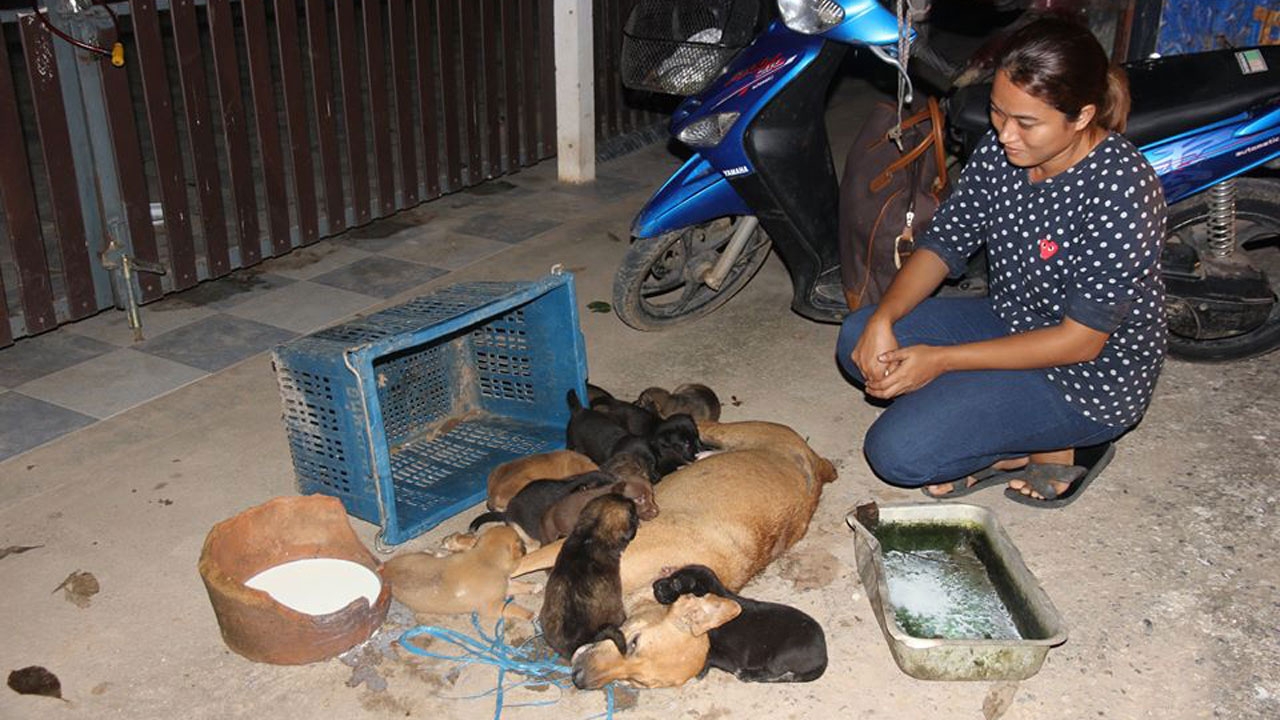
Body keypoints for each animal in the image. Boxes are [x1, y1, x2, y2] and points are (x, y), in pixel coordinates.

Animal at [381, 520, 537, 622]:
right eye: (521, 543)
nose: (526, 548)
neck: (486, 557)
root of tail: (386, 566)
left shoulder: (505, 585)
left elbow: (518, 585)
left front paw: (534, 586)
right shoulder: (492, 607)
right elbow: (512, 607)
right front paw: (530, 614)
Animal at [650, 563, 829, 681]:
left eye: (676, 583)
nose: (654, 585)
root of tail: (824, 656)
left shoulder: (733, 659)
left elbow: (710, 655)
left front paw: (701, 670)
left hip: (781, 655)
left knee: (774, 674)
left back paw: (748, 674)